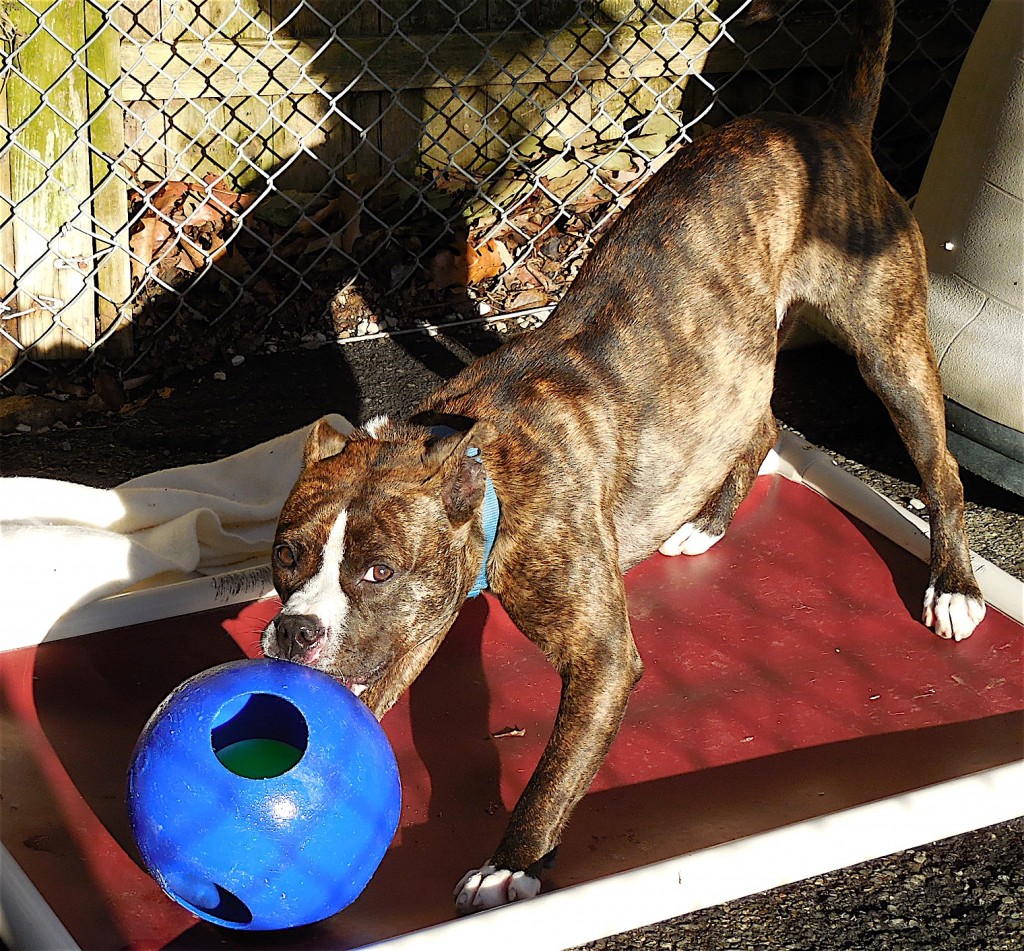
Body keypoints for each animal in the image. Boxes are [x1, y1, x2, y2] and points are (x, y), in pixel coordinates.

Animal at [262, 0, 983, 909]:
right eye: (285, 555)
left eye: (378, 570)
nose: (295, 631)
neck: (483, 461)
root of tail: (830, 128)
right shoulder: (420, 620)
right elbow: (378, 682)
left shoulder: (598, 660)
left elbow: (557, 768)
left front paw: (515, 860)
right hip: (737, 364)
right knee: (762, 426)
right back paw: (706, 521)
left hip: (889, 346)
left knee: (941, 469)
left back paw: (955, 585)